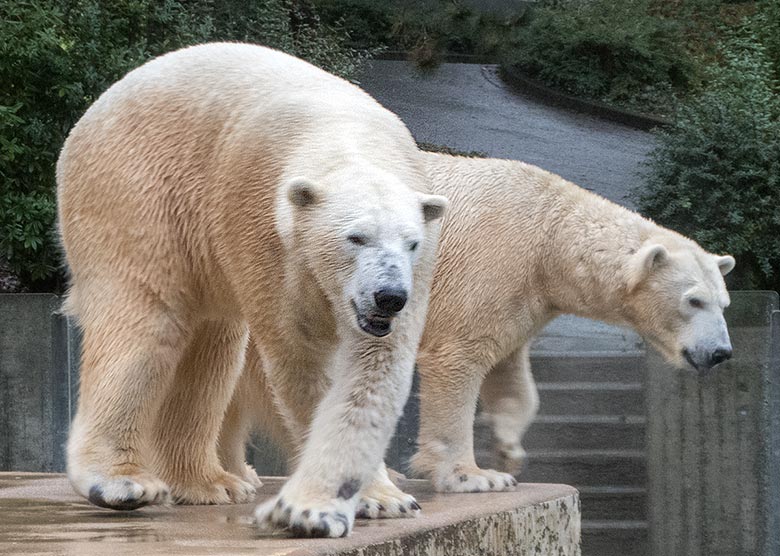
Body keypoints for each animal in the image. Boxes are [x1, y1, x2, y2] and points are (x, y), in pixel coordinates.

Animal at [54, 40, 444, 540]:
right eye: (355, 237)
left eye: (411, 242)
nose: (389, 296)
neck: (345, 135)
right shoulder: (265, 230)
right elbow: (302, 361)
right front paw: (346, 503)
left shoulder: (414, 270)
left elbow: (374, 372)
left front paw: (383, 497)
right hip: (137, 194)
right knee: (144, 325)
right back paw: (123, 482)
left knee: (213, 347)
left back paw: (212, 482)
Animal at [216, 152, 736, 500]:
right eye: (693, 300)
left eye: (724, 302)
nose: (720, 352)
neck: (548, 234)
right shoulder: (492, 262)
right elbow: (458, 359)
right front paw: (474, 475)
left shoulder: (523, 295)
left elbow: (512, 371)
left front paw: (509, 449)